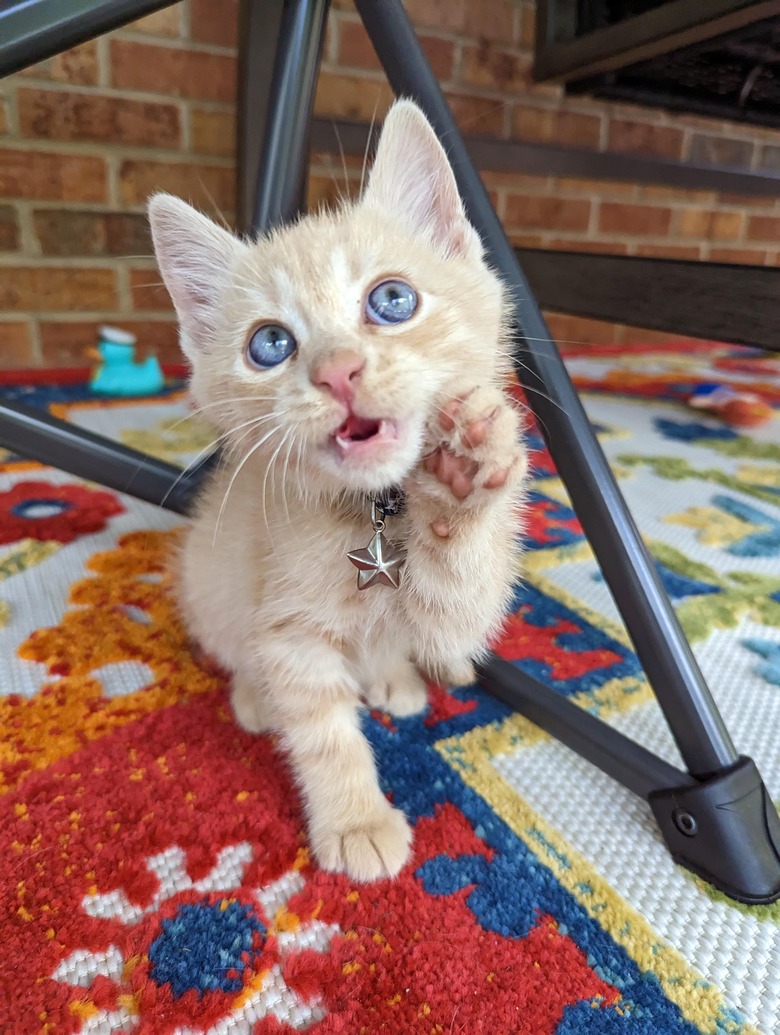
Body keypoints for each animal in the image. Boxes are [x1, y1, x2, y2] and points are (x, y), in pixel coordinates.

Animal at [148, 98, 525, 881]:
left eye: (392, 299)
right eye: (269, 345)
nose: (337, 371)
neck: (378, 513)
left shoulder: (456, 607)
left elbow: (458, 598)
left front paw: (463, 475)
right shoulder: (290, 633)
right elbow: (324, 734)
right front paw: (356, 819)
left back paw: (401, 675)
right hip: (207, 586)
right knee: (238, 650)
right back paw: (256, 696)